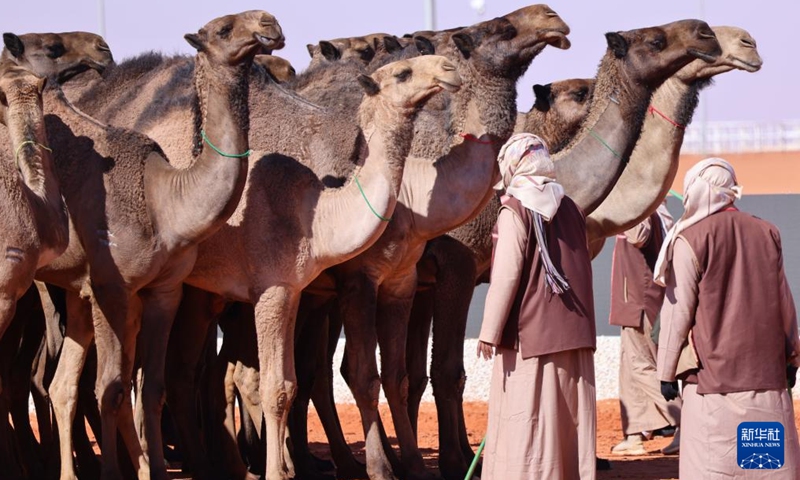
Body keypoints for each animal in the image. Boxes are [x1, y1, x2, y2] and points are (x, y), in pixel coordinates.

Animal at [30, 11, 280, 480]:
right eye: (223, 29)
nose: (269, 23)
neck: (166, 201)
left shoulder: (165, 290)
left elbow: (151, 387)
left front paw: (156, 470)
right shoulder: (110, 288)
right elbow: (111, 388)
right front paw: (116, 472)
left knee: (62, 384)